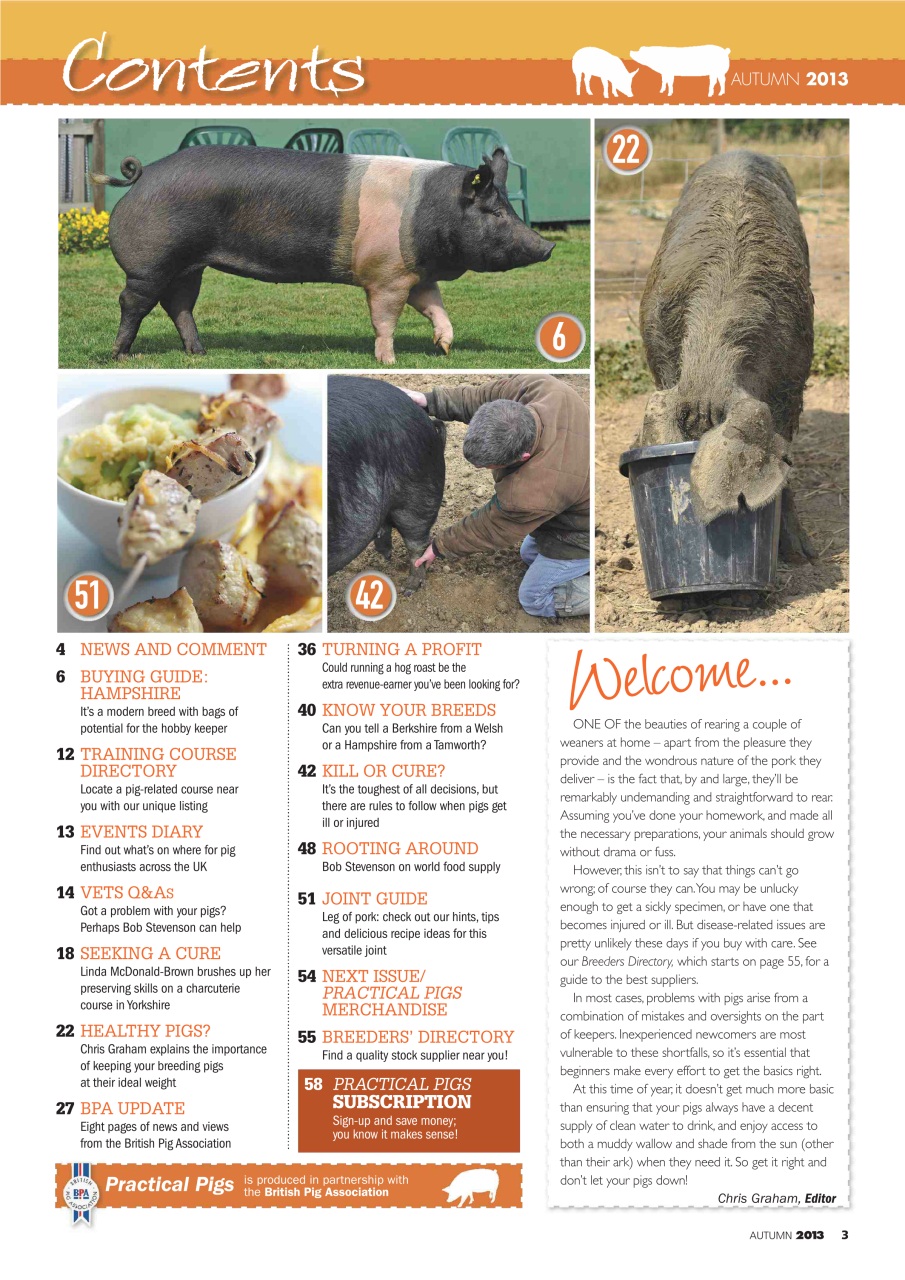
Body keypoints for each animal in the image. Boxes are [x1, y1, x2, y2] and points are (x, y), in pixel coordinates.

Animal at [93, 147, 555, 365]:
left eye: (509, 209)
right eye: (495, 212)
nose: (548, 246)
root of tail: (143, 175)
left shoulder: (416, 274)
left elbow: (435, 308)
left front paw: (444, 349)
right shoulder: (386, 275)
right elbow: (385, 319)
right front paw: (388, 359)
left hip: (190, 265)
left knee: (179, 305)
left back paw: (200, 353)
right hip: (152, 261)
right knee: (133, 302)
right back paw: (120, 355)